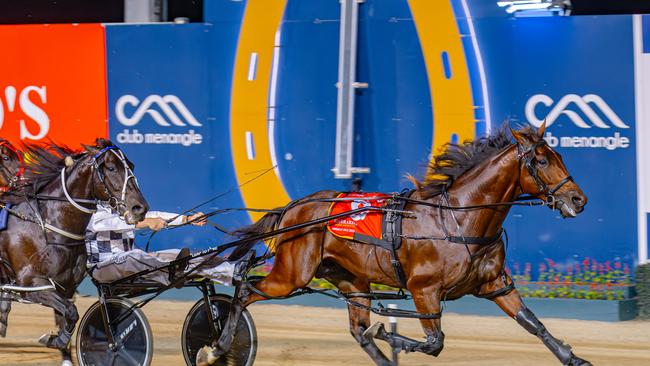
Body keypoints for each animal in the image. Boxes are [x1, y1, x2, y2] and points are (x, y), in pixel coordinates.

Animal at [0, 139, 147, 364]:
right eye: (111, 168)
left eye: (131, 165)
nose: (140, 208)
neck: (47, 226)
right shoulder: (32, 284)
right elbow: (71, 313)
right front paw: (53, 339)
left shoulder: (66, 288)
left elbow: (66, 318)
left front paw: (63, 349)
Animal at [200, 123, 588, 366]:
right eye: (542, 160)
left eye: (560, 157)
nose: (578, 200)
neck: (458, 219)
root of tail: (294, 207)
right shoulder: (423, 289)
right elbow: (435, 342)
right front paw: (390, 331)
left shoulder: (495, 284)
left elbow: (533, 324)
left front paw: (573, 357)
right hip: (292, 275)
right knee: (244, 291)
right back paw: (217, 347)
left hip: (352, 280)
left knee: (358, 330)